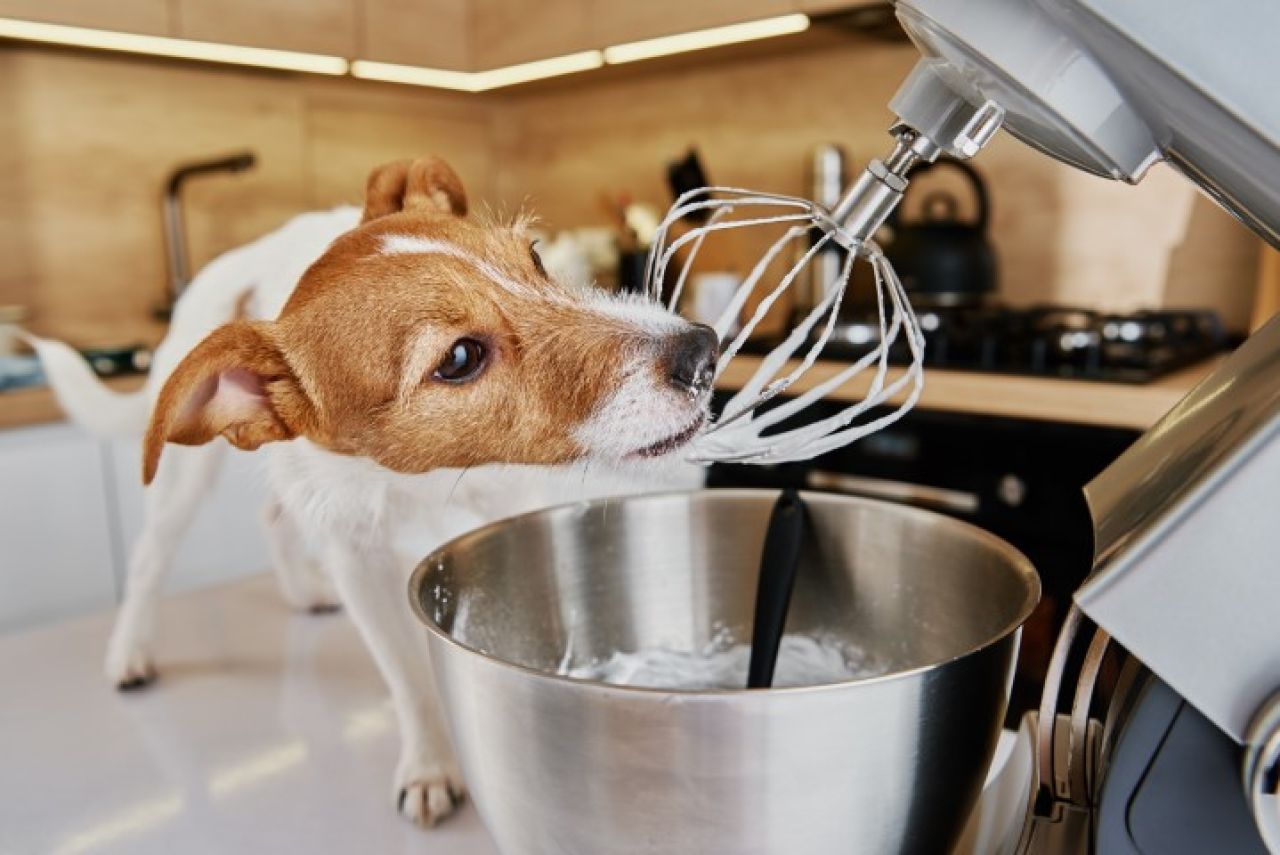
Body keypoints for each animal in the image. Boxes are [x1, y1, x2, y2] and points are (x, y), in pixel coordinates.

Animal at [30, 155, 716, 829]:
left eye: (538, 259)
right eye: (460, 358)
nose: (703, 352)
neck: (429, 480)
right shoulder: (358, 563)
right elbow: (407, 678)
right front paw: (430, 765)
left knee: (272, 516)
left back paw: (300, 591)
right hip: (182, 482)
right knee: (151, 557)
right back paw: (130, 651)